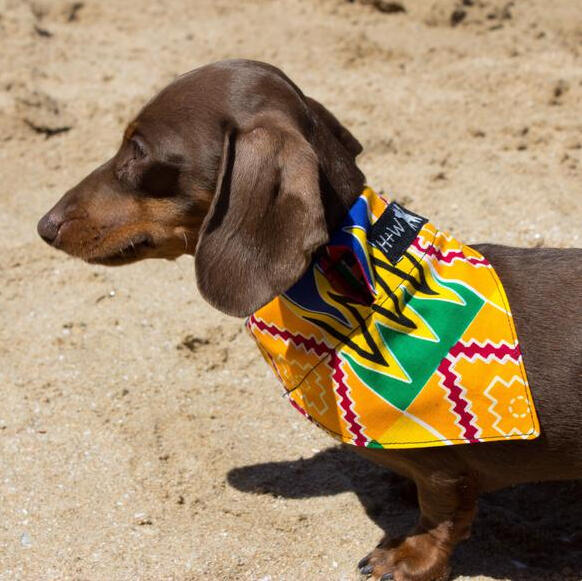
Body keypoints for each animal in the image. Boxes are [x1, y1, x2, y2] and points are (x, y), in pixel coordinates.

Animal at [37, 57, 582, 580]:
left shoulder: (446, 469)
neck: (354, 278)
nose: (44, 225)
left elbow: (441, 513)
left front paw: (409, 559)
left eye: (139, 151)